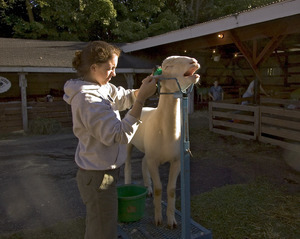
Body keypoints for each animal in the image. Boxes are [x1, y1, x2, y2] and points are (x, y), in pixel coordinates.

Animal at [125, 55, 200, 228]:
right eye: (168, 66)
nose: (193, 61)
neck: (166, 131)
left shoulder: (176, 160)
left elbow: (171, 190)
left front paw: (171, 221)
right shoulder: (154, 161)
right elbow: (160, 188)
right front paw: (158, 219)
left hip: (148, 151)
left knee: (143, 162)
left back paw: (148, 188)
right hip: (128, 145)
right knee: (128, 164)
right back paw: (128, 184)